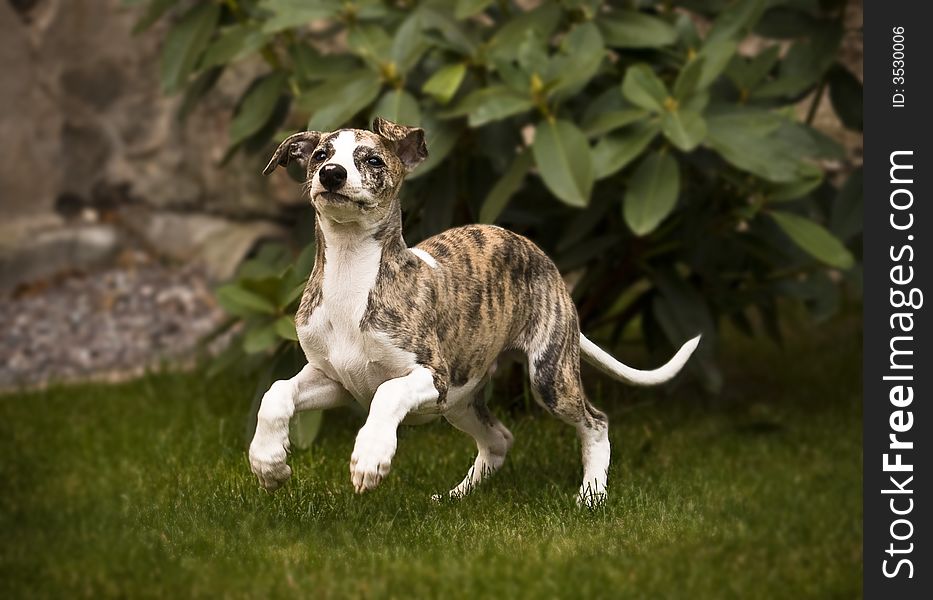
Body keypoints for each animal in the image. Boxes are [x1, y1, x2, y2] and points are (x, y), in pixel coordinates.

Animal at [248, 118, 700, 506]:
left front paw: (370, 458)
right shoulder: (336, 380)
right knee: (499, 439)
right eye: (321, 154)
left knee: (596, 422)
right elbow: (276, 391)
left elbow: (387, 393)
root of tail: (542, 259)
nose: (332, 175)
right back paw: (456, 496)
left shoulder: (432, 376)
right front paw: (268, 462)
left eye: (373, 159)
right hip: (461, 399)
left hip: (546, 376)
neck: (351, 275)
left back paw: (591, 494)